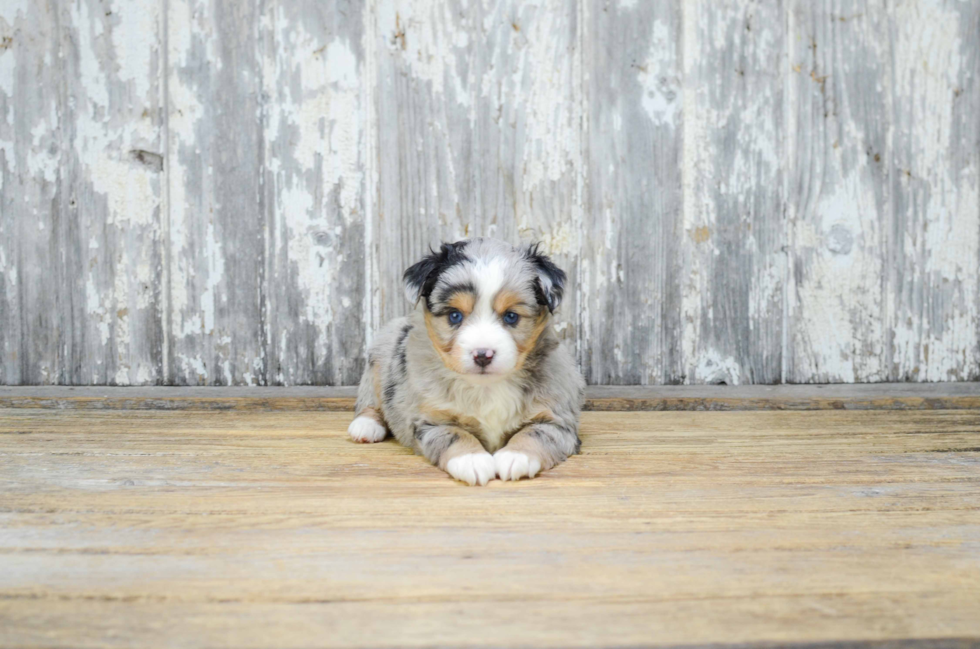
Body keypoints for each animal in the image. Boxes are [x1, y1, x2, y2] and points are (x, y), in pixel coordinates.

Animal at [350, 237, 584, 480]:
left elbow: (535, 433)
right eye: (455, 315)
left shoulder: (558, 420)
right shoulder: (431, 419)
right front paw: (471, 460)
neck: (487, 387)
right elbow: (455, 434)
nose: (483, 355)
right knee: (370, 399)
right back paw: (365, 426)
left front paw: (516, 456)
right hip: (380, 357)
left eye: (511, 316)